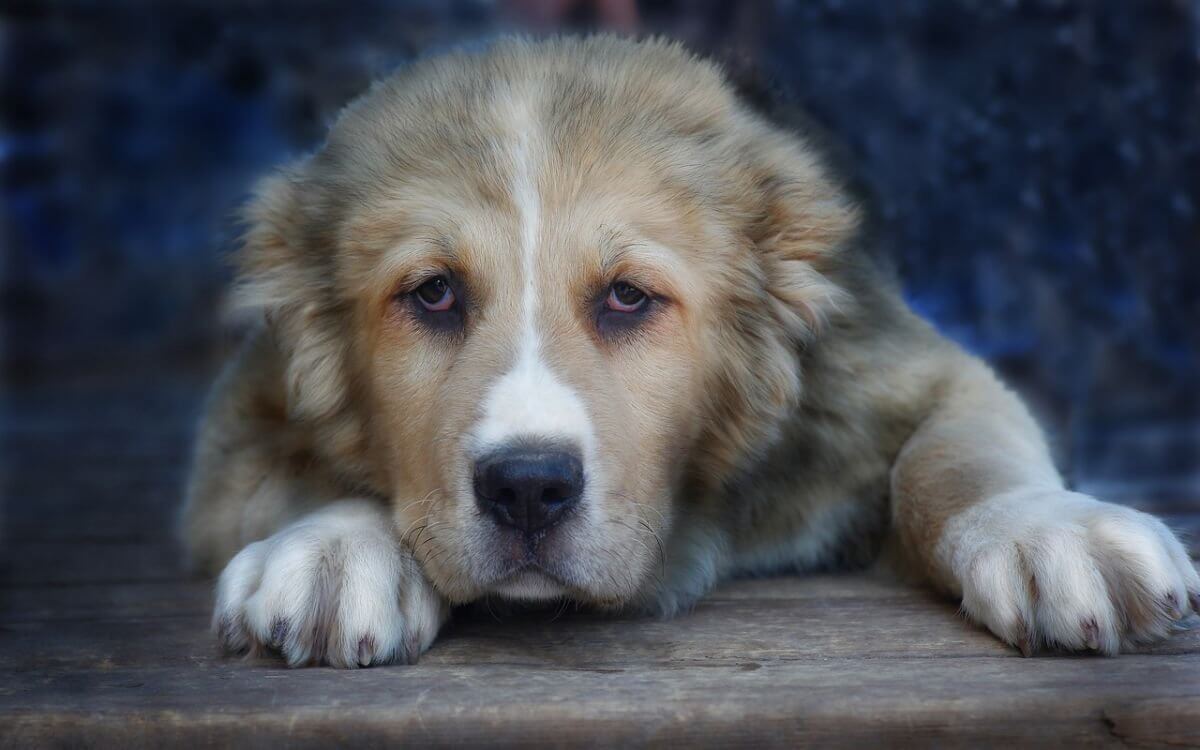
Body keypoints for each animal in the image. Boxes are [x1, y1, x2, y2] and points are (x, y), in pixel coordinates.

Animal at [180, 36, 1200, 667]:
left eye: (628, 296)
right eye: (432, 293)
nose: (527, 489)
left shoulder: (908, 370)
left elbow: (957, 457)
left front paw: (1046, 528)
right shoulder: (231, 440)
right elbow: (305, 477)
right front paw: (338, 550)